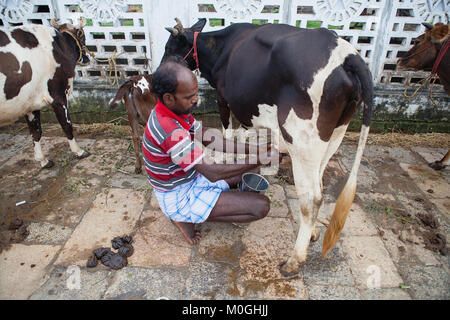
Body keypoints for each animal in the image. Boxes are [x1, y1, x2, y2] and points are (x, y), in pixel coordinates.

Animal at [0, 18, 91, 168]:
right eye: (82, 34)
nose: (87, 57)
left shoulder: (30, 103)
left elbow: (35, 131)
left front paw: (42, 160)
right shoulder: (58, 94)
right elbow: (67, 125)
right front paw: (79, 151)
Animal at [162, 18, 372, 276]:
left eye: (169, 48)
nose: (157, 72)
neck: (221, 48)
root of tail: (346, 53)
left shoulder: (224, 99)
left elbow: (228, 133)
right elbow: (246, 138)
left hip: (302, 140)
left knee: (311, 198)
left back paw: (293, 261)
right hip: (334, 135)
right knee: (320, 184)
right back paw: (312, 233)